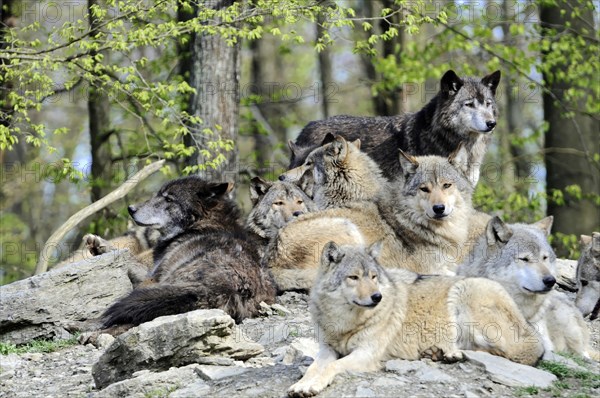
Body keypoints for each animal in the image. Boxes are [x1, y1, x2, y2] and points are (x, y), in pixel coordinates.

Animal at [264, 145, 490, 290]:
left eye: (446, 185)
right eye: (424, 189)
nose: (439, 208)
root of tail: (270, 263)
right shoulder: (432, 267)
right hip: (346, 227)